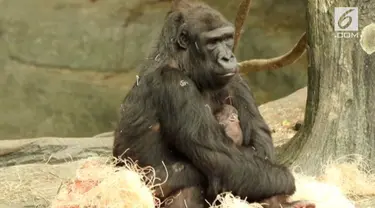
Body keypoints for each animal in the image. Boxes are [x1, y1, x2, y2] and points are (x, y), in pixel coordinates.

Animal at [114, 0, 300, 208]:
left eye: (227, 38)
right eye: (211, 42)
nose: (227, 57)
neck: (183, 62)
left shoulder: (235, 77)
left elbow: (260, 145)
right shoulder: (173, 83)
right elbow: (226, 163)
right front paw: (286, 179)